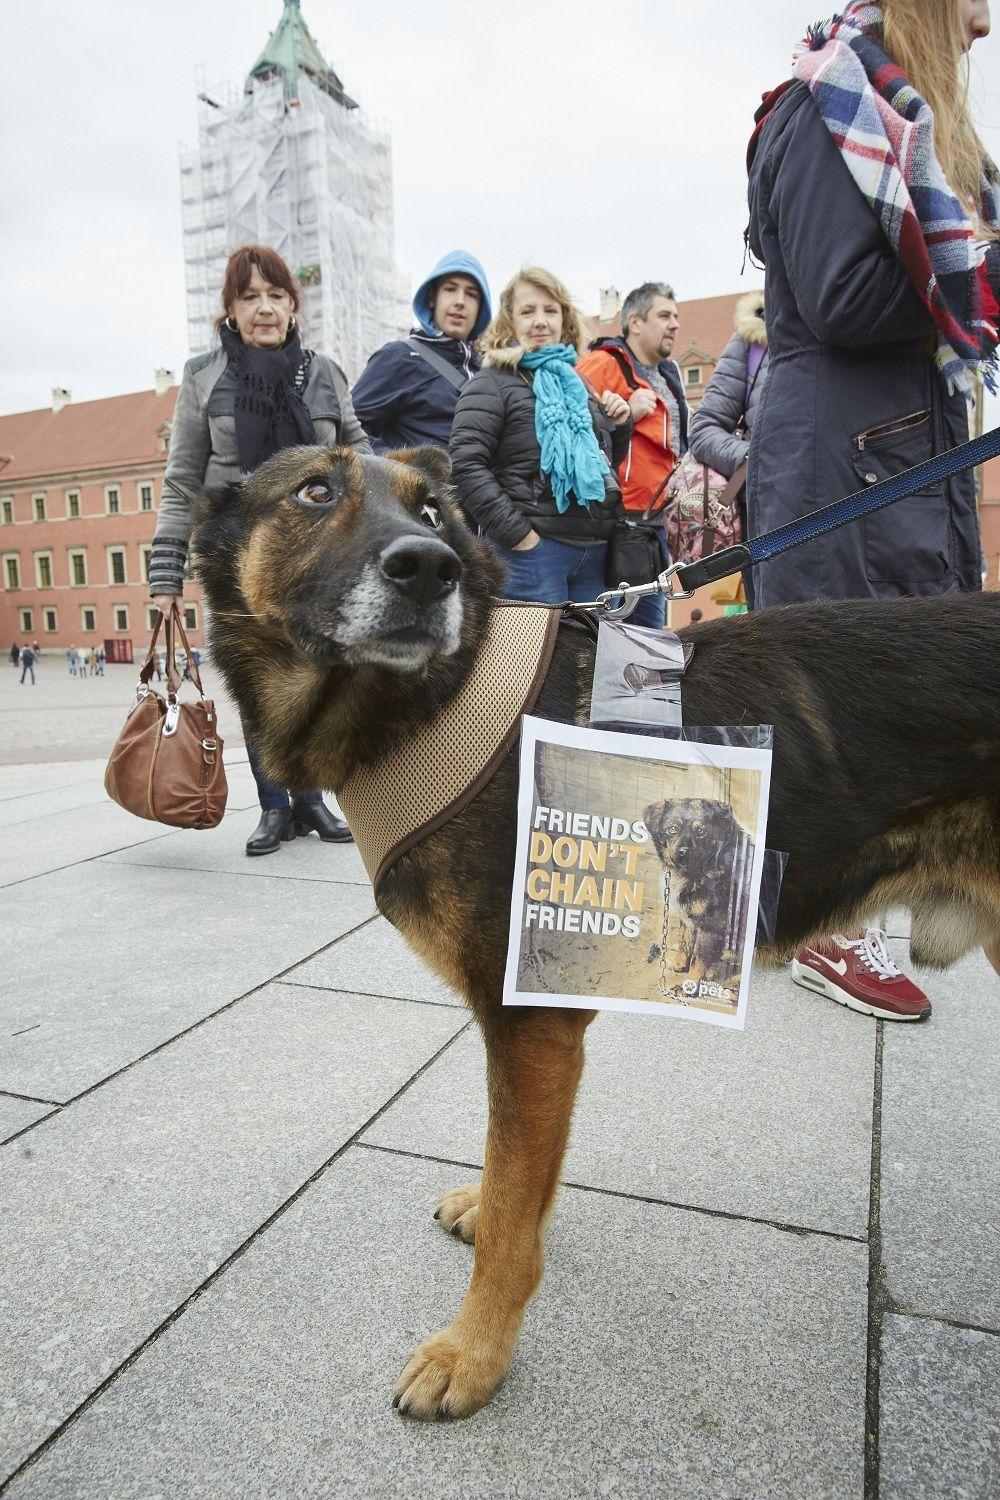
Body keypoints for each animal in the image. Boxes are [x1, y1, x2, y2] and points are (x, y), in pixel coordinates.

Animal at [193, 441, 1000, 1416]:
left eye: (433, 514)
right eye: (315, 491)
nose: (430, 568)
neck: (442, 697)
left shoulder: (528, 1026)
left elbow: (515, 1216)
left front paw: (474, 1351)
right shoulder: (541, 1035)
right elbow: (520, 1180)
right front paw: (493, 1223)